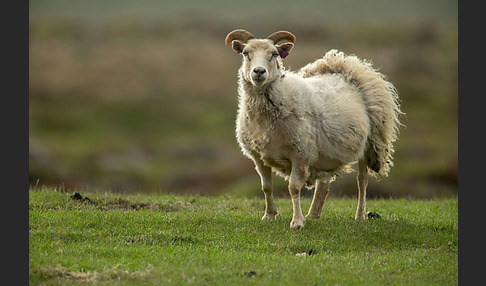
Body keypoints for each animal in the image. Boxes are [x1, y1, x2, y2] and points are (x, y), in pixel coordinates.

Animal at [225, 29, 402, 229]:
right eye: (245, 53)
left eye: (274, 54)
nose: (259, 71)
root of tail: (347, 64)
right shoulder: (259, 156)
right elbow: (266, 187)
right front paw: (269, 215)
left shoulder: (300, 153)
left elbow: (294, 188)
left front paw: (297, 222)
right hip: (327, 151)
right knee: (324, 183)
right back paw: (314, 214)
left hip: (369, 143)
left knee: (362, 182)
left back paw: (359, 215)